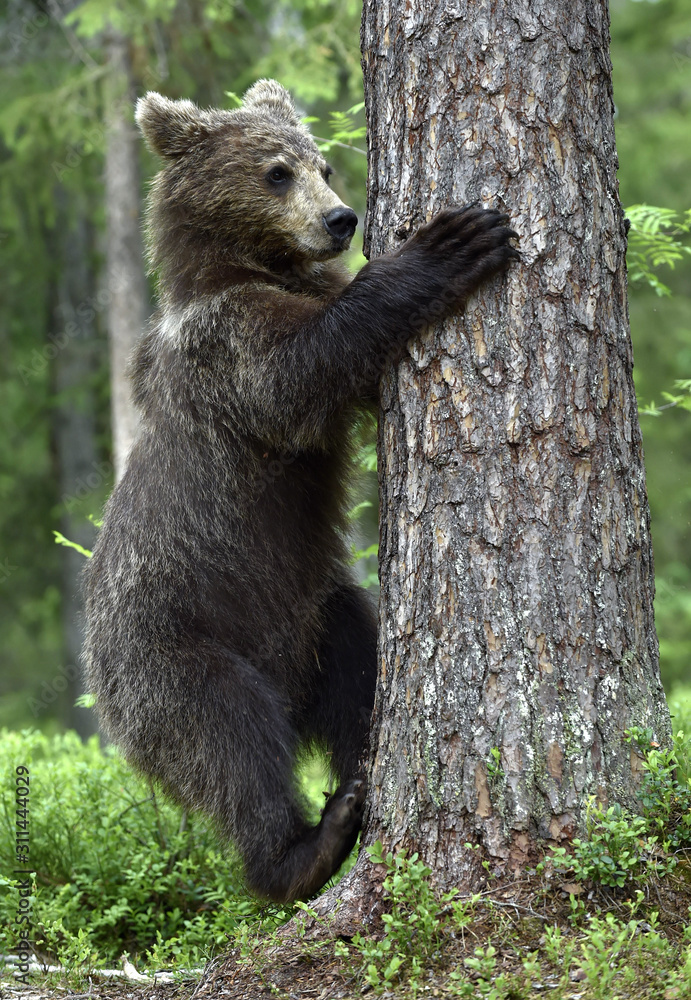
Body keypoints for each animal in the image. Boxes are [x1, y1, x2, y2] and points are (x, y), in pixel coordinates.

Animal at [82, 79, 518, 903]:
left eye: (322, 164)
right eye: (276, 172)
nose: (341, 219)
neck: (254, 267)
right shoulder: (229, 355)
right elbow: (305, 366)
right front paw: (450, 243)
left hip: (314, 612)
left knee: (358, 663)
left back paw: (359, 777)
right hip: (171, 651)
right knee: (228, 739)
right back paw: (303, 848)